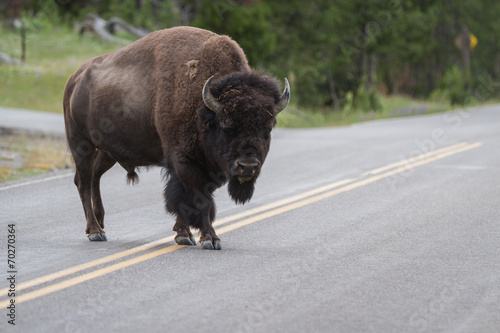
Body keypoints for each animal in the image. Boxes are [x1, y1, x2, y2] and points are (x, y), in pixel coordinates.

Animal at [62, 26, 290, 249]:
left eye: (268, 128)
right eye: (226, 125)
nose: (248, 166)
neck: (203, 108)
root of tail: (74, 79)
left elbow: (185, 199)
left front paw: (184, 235)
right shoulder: (185, 161)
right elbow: (199, 200)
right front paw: (209, 239)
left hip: (107, 152)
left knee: (94, 177)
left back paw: (99, 224)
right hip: (81, 144)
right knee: (83, 182)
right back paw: (95, 232)